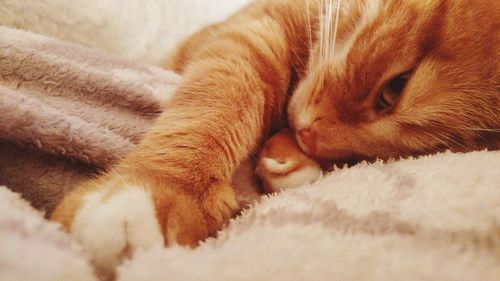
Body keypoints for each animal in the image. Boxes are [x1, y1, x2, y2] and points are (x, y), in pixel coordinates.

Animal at [51, 0, 500, 272]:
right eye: (395, 88)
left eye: (432, 150)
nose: (313, 139)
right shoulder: (254, 31)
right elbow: (224, 95)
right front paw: (162, 187)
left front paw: (291, 158)